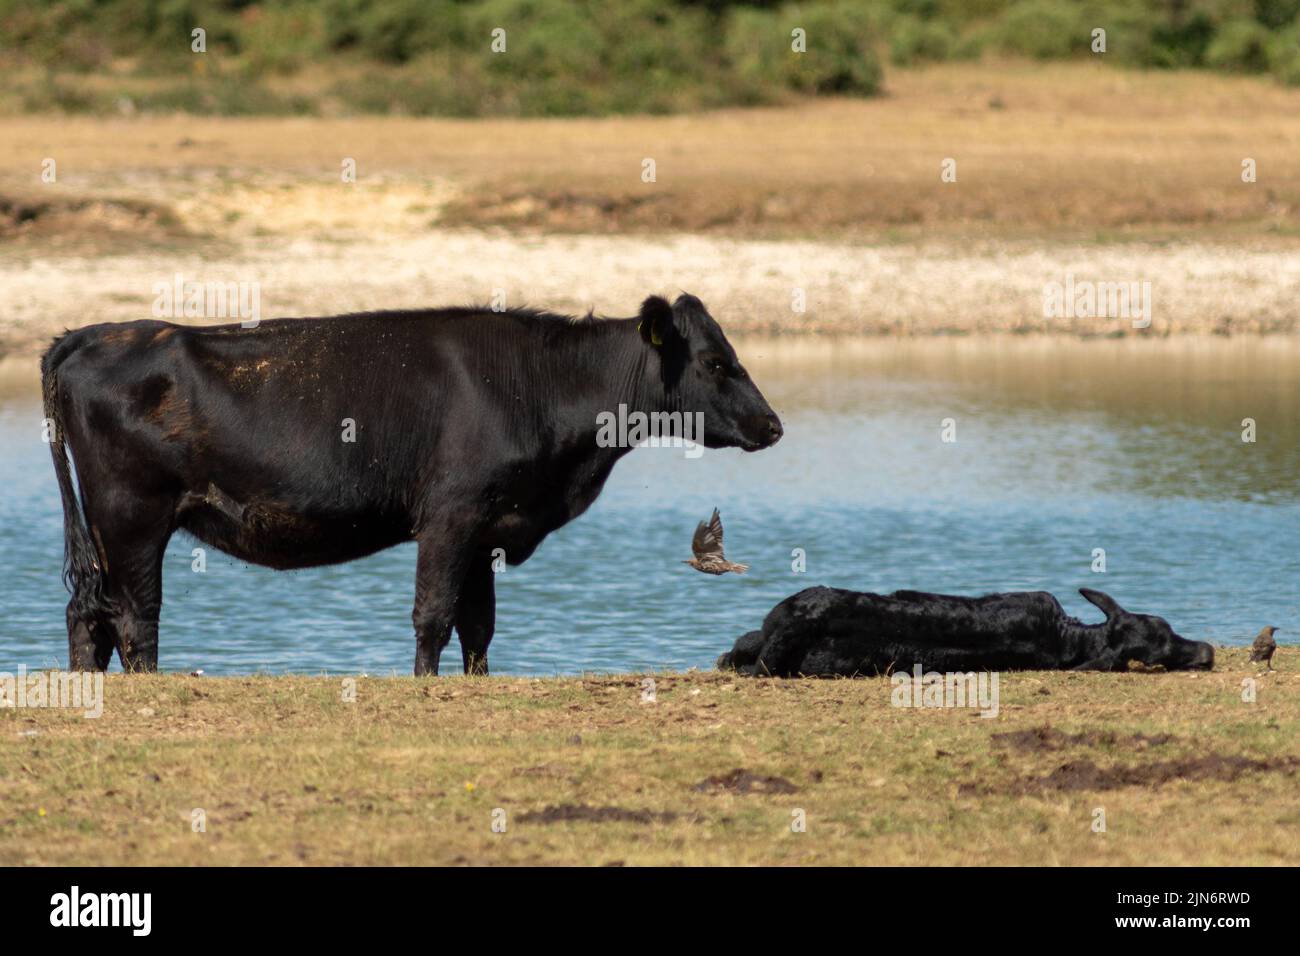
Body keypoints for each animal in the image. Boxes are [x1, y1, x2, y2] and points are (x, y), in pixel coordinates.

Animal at [43, 295, 780, 676]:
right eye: (716, 361)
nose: (772, 425)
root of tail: (92, 333)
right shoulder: (451, 516)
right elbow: (433, 615)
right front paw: (424, 686)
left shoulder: (489, 527)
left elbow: (479, 625)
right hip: (132, 516)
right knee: (135, 618)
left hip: (106, 529)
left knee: (88, 614)